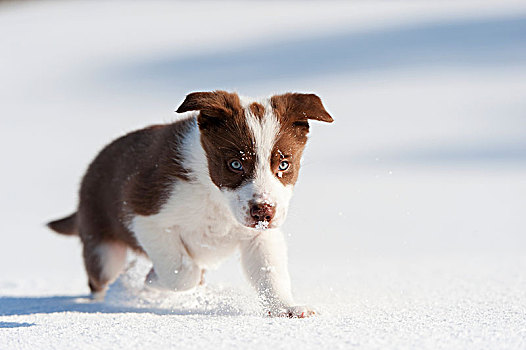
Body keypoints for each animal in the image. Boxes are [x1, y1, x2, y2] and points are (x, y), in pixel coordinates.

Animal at [48, 91, 334, 318]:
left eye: (284, 164)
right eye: (235, 164)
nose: (263, 211)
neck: (216, 199)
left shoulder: (259, 235)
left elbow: (270, 271)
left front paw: (286, 307)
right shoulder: (146, 214)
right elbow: (182, 272)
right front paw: (151, 279)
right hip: (103, 247)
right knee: (100, 279)